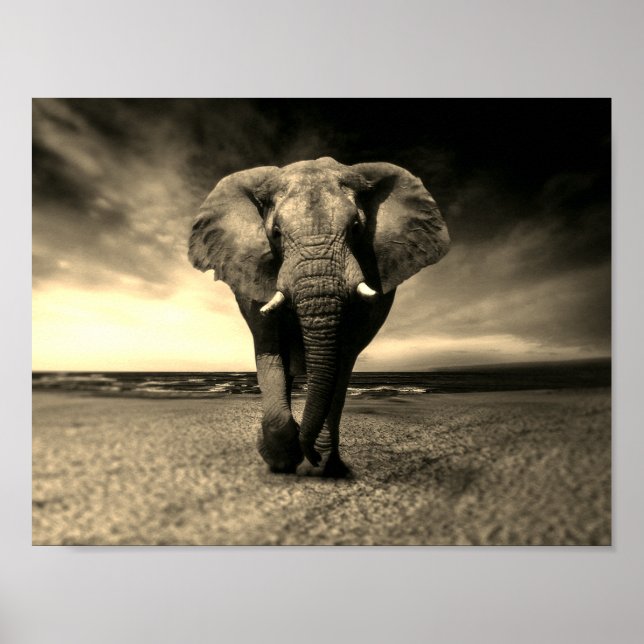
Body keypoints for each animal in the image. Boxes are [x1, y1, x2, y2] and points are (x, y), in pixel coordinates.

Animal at [188, 157, 450, 476]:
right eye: (275, 233)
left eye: (356, 228)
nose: (309, 454)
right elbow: (270, 349)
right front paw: (282, 460)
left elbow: (342, 358)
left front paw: (319, 463)